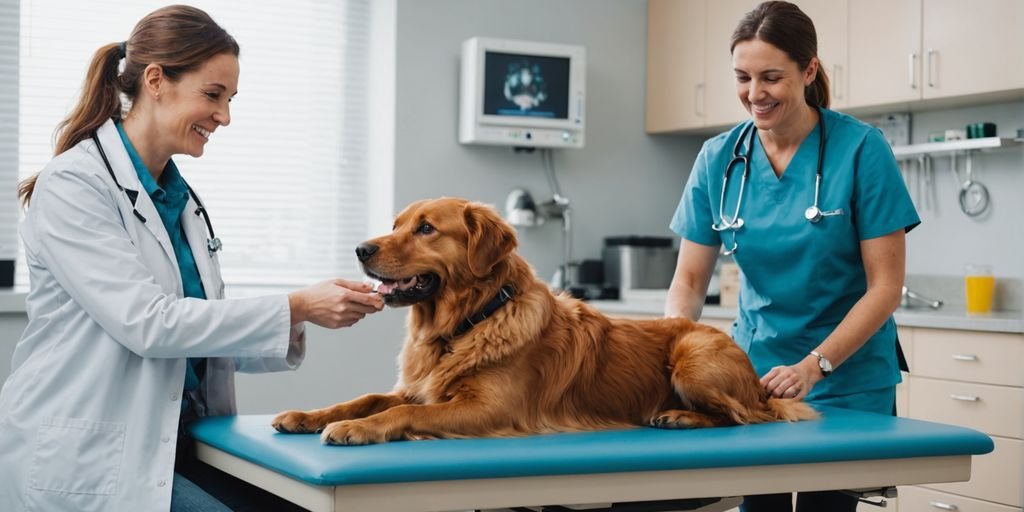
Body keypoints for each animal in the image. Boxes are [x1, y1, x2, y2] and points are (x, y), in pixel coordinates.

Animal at [272, 196, 815, 444]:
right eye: (396, 225)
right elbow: (364, 398)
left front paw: (355, 429)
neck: (470, 322)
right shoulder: (419, 386)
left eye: (426, 228)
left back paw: (681, 415)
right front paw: (309, 415)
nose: (361, 250)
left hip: (692, 357)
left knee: (743, 415)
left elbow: (403, 414)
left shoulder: (488, 410)